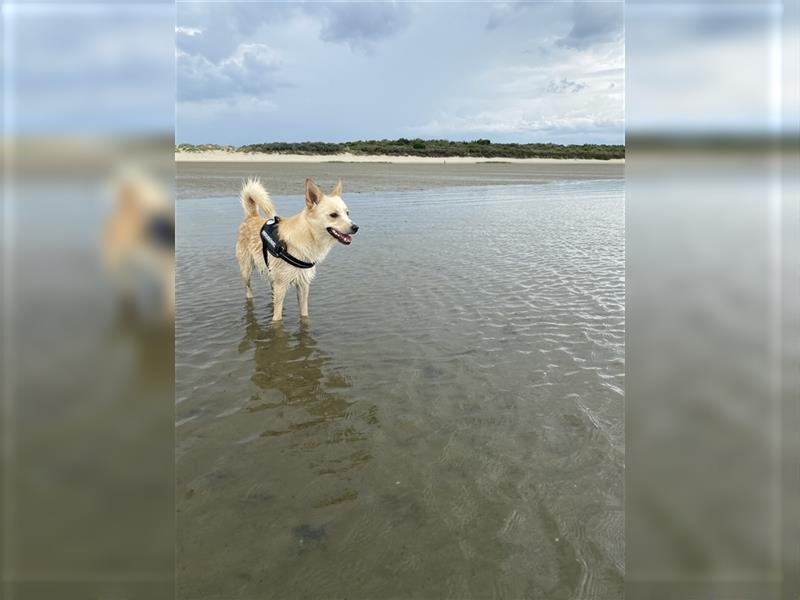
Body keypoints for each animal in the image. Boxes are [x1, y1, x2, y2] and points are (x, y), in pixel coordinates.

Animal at [231, 177, 356, 322]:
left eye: (347, 213)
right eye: (333, 215)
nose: (356, 227)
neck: (307, 235)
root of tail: (252, 216)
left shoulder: (303, 285)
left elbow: (304, 313)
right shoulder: (281, 286)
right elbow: (277, 317)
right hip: (246, 271)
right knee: (248, 291)